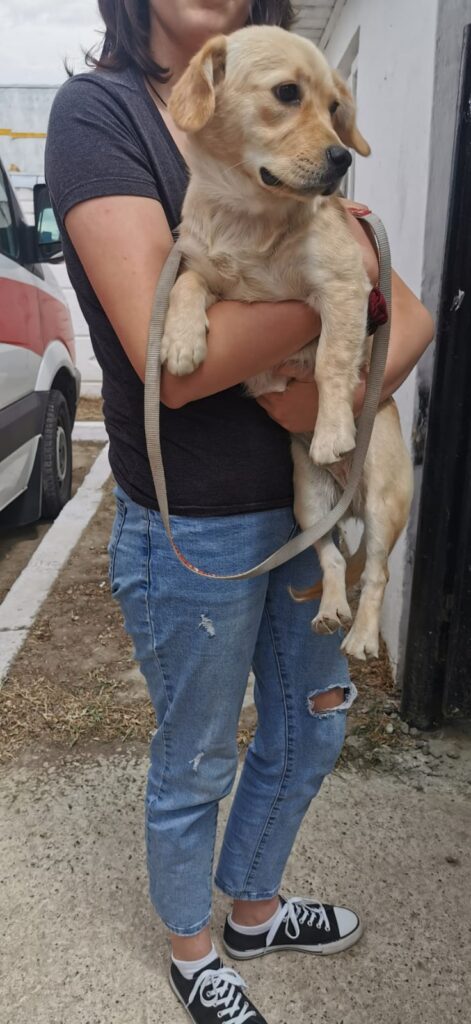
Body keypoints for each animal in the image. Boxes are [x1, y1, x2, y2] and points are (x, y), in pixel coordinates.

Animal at [161, 25, 413, 659]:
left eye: (336, 109)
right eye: (286, 93)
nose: (343, 157)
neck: (247, 217)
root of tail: (349, 494)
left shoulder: (344, 286)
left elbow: (330, 361)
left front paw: (332, 430)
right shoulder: (205, 270)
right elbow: (189, 282)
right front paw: (180, 340)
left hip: (385, 500)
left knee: (377, 572)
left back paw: (362, 635)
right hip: (308, 501)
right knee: (331, 559)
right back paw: (328, 612)